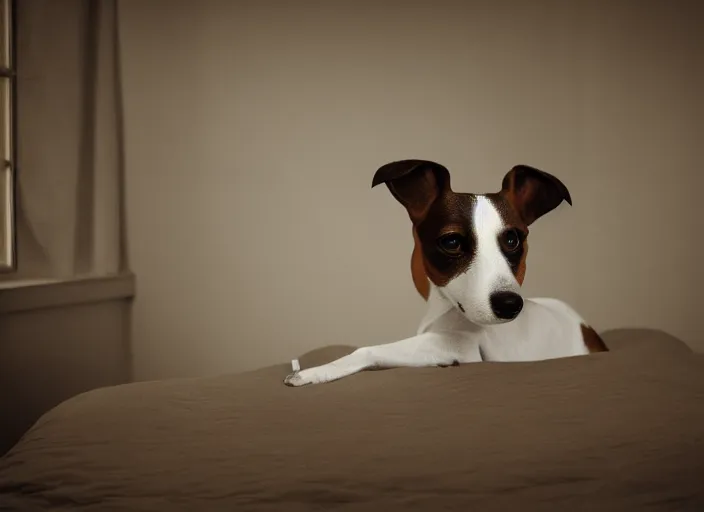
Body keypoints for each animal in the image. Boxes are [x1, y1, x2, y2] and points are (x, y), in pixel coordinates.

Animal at [284, 160, 608, 388]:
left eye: (513, 239)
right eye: (451, 242)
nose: (509, 305)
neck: (450, 314)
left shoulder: (469, 350)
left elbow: (369, 350)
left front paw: (315, 371)